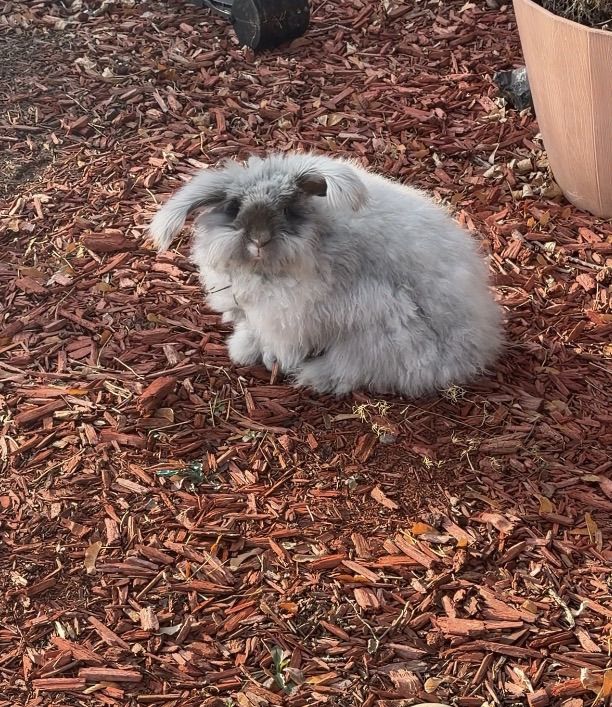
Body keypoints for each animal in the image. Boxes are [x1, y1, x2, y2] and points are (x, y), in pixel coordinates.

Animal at [148, 152, 503, 397]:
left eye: (288, 209)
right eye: (234, 208)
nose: (259, 240)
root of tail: (474, 348)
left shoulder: (291, 320)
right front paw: (243, 350)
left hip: (385, 327)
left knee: (355, 367)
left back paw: (315, 376)